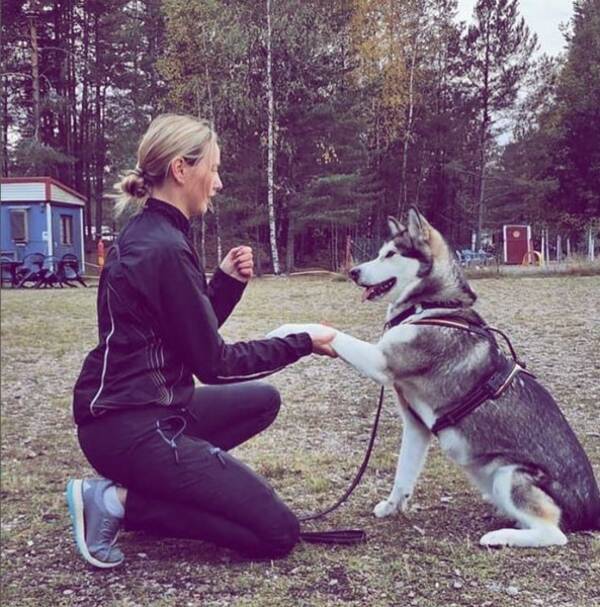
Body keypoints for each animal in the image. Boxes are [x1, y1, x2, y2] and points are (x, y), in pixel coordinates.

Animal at [268, 207, 600, 548]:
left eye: (390, 254)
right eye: (379, 253)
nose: (353, 272)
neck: (431, 305)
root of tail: (593, 512)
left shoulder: (380, 361)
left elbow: (330, 333)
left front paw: (287, 330)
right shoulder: (416, 426)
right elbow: (403, 474)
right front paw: (392, 507)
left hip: (509, 475)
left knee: (554, 533)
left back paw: (499, 536)